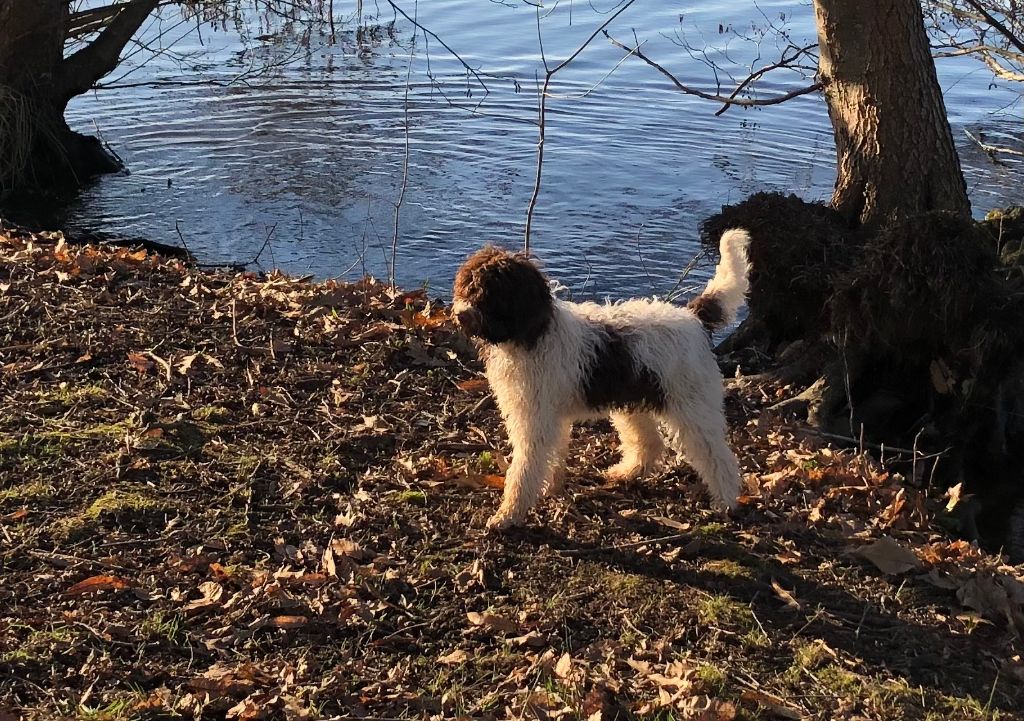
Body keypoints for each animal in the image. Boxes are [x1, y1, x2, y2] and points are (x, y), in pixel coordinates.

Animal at [452, 229, 751, 530]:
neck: (532, 334)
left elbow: (525, 468)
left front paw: (508, 515)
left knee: (719, 457)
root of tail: (694, 317)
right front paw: (550, 488)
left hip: (692, 407)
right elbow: (553, 456)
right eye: (467, 285)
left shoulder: (535, 420)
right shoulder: (550, 416)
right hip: (635, 401)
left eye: (491, 292)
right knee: (650, 442)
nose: (460, 314)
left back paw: (726, 501)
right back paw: (627, 472)